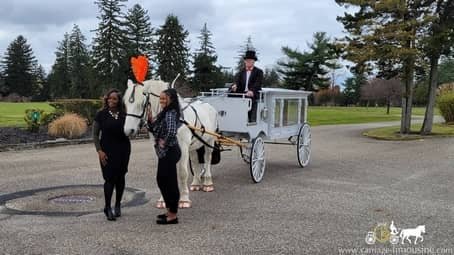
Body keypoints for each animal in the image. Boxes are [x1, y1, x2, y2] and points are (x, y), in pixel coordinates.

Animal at [122, 80, 218, 209]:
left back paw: (208, 183)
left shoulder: (183, 147)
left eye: (142, 103)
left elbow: (183, 173)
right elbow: (163, 173)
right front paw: (163, 200)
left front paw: (184, 199)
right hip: (193, 145)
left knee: (207, 159)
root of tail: (208, 105)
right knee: (194, 160)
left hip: (209, 140)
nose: (128, 130)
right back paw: (196, 183)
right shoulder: (160, 148)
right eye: (125, 103)